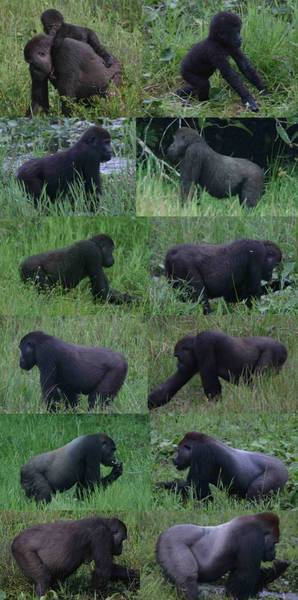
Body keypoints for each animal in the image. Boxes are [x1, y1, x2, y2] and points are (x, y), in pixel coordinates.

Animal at [10, 516, 139, 596]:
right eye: (122, 540)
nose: (121, 549)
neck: (105, 523)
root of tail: (15, 540)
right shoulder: (102, 535)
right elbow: (102, 571)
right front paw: (93, 595)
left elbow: (111, 569)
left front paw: (135, 576)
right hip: (23, 551)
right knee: (43, 579)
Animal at [148, 330, 288, 410]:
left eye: (178, 357)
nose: (178, 365)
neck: (194, 344)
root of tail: (284, 348)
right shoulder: (191, 364)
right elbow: (171, 386)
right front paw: (149, 404)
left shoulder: (204, 343)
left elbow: (212, 388)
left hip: (275, 351)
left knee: (259, 382)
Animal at [157, 432, 288, 502]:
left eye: (178, 451)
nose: (174, 459)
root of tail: (285, 468)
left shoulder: (202, 453)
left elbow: (197, 489)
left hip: (276, 474)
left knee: (255, 492)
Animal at [157, 510, 290, 600]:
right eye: (275, 542)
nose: (274, 553)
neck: (258, 525)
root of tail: (163, 534)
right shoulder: (252, 535)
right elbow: (242, 579)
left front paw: (276, 570)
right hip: (171, 542)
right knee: (187, 578)